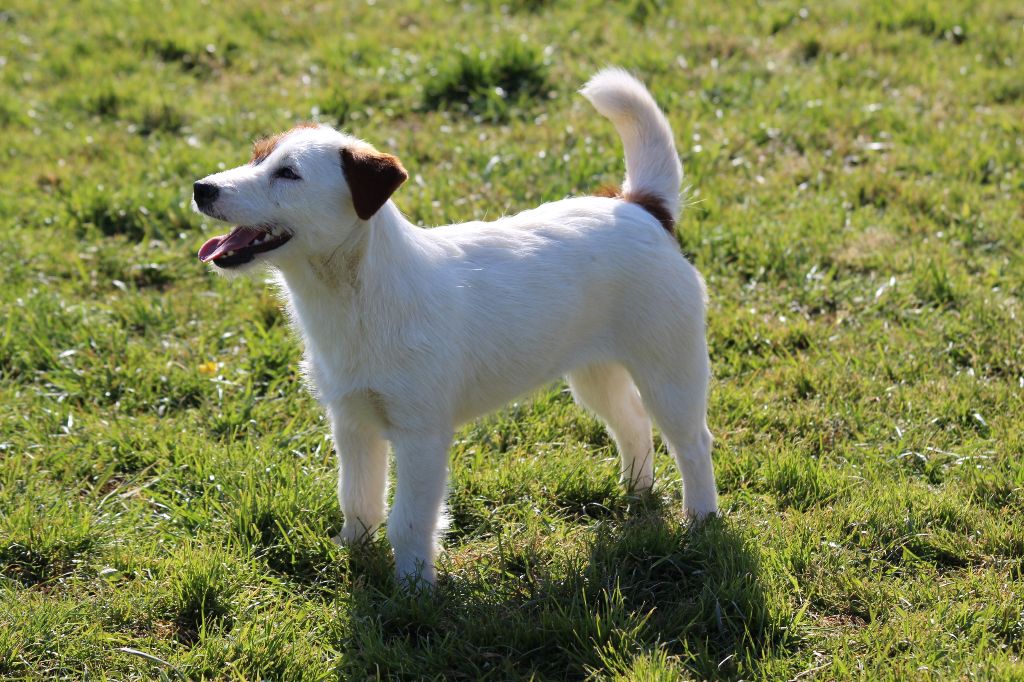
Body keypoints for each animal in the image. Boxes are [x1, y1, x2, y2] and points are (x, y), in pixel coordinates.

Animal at [193, 69, 720, 585]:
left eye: (288, 173)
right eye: (256, 158)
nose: (202, 188)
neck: (356, 297)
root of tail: (642, 207)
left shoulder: (421, 435)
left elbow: (409, 521)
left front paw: (413, 589)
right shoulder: (352, 422)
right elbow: (358, 498)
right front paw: (353, 554)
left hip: (670, 370)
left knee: (693, 443)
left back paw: (701, 521)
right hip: (594, 373)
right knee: (633, 423)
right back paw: (636, 492)